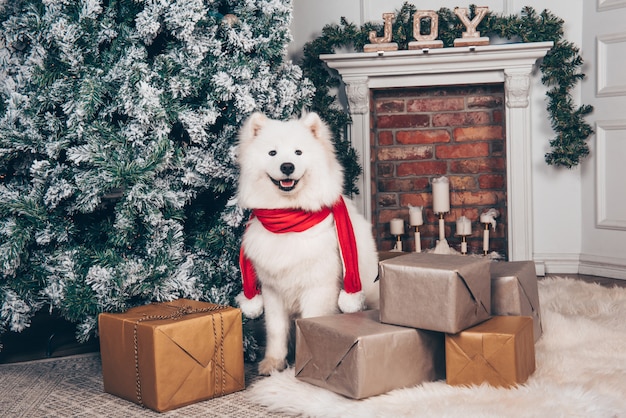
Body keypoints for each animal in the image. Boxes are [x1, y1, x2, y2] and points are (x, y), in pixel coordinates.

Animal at [234, 112, 378, 376]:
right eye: (272, 153)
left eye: (298, 152)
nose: (287, 166)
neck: (289, 218)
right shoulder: (272, 292)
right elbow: (276, 331)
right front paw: (274, 363)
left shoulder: (317, 289)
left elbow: (308, 325)